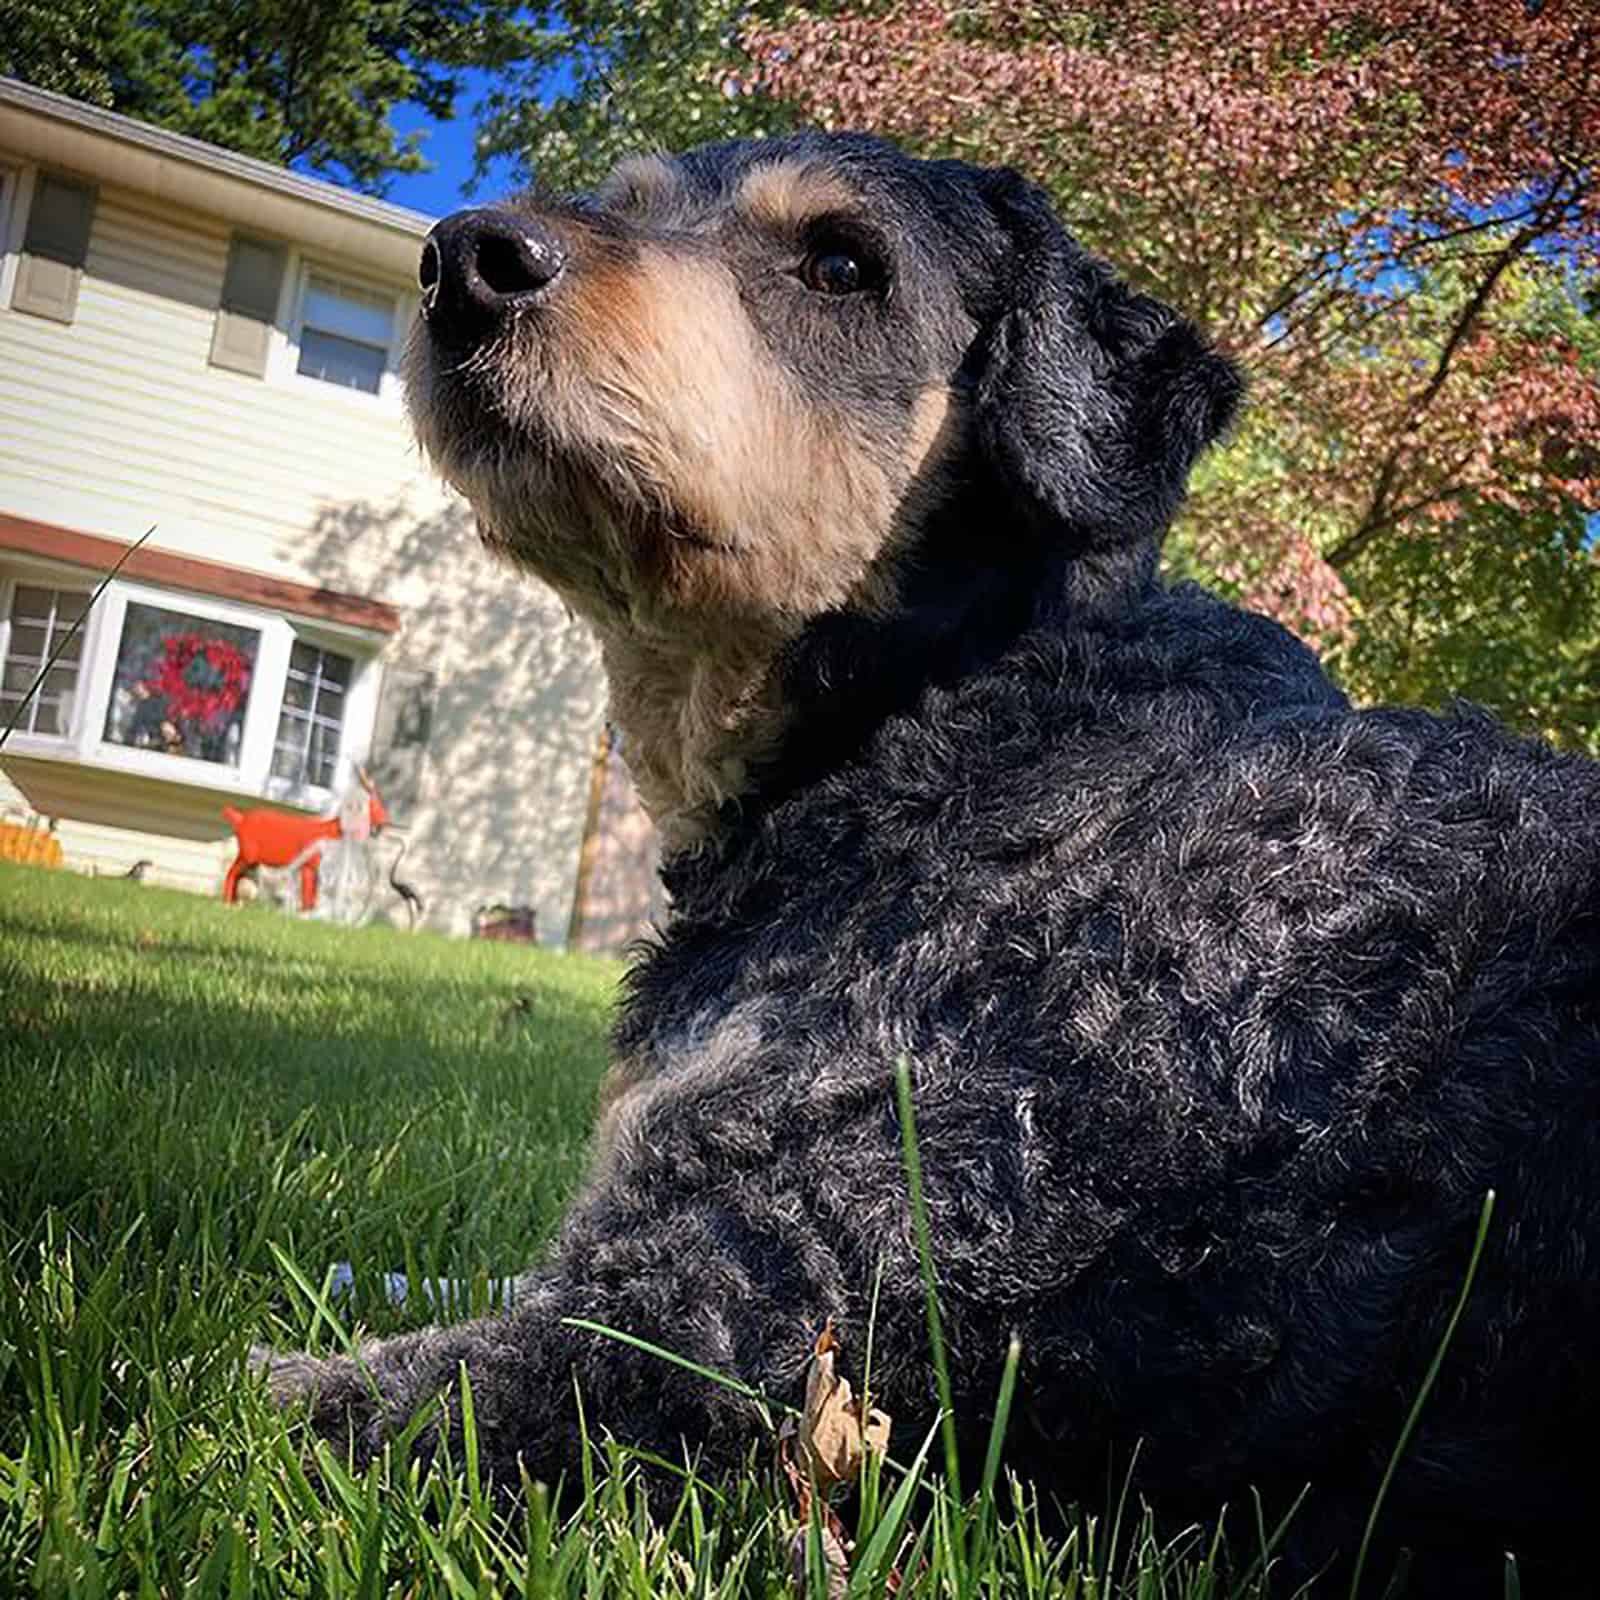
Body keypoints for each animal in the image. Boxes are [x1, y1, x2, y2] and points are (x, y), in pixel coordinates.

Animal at [262, 134, 1600, 1587]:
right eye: (625, 205)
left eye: (843, 263)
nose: (465, 256)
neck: (968, 717)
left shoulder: (691, 1332)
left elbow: (234, 1384)